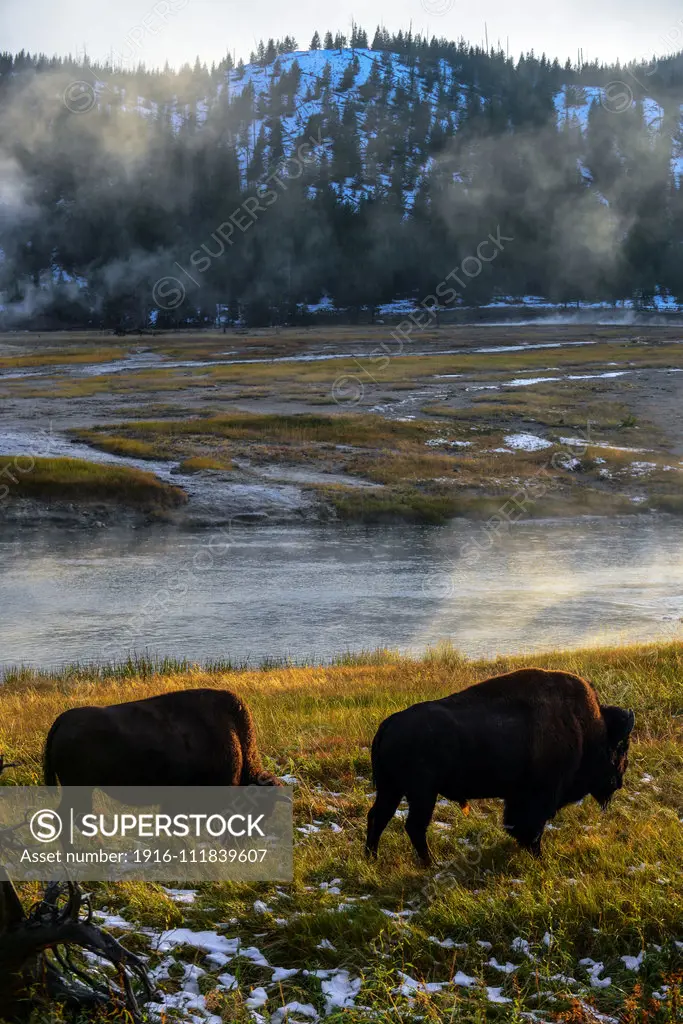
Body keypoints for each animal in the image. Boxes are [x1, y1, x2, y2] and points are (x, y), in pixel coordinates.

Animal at [366, 663, 638, 864]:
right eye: (622, 747)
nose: (618, 782)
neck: (586, 727)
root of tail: (388, 725)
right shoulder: (538, 796)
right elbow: (531, 826)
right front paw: (538, 856)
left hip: (392, 789)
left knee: (379, 817)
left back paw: (372, 859)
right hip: (422, 793)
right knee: (414, 826)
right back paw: (429, 863)